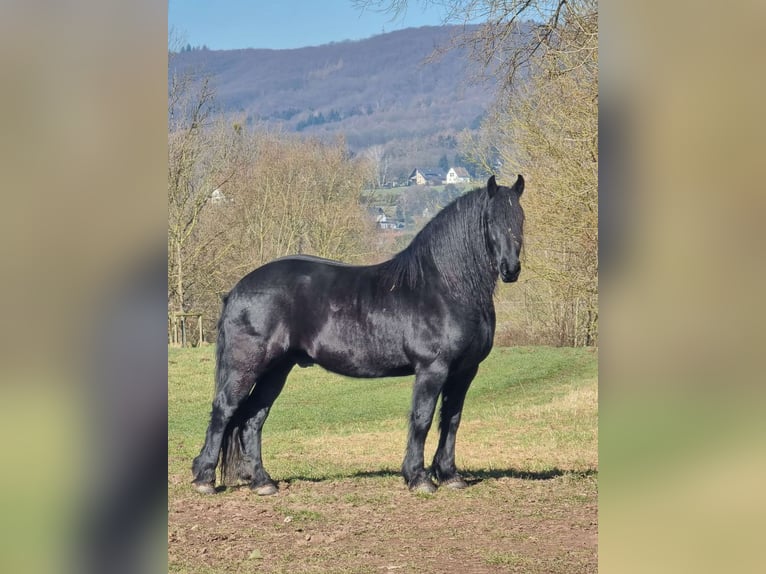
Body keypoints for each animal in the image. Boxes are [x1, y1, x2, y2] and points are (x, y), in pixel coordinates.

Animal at [192, 175, 525, 494]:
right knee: (224, 410)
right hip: (245, 366)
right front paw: (418, 478)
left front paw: (449, 475)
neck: (445, 287)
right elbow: (422, 418)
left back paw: (262, 482)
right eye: (491, 220)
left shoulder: (465, 370)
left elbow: (452, 419)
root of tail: (237, 289)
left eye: (520, 218)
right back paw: (205, 479)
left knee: (253, 418)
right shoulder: (432, 369)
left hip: (277, 369)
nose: (511, 269)